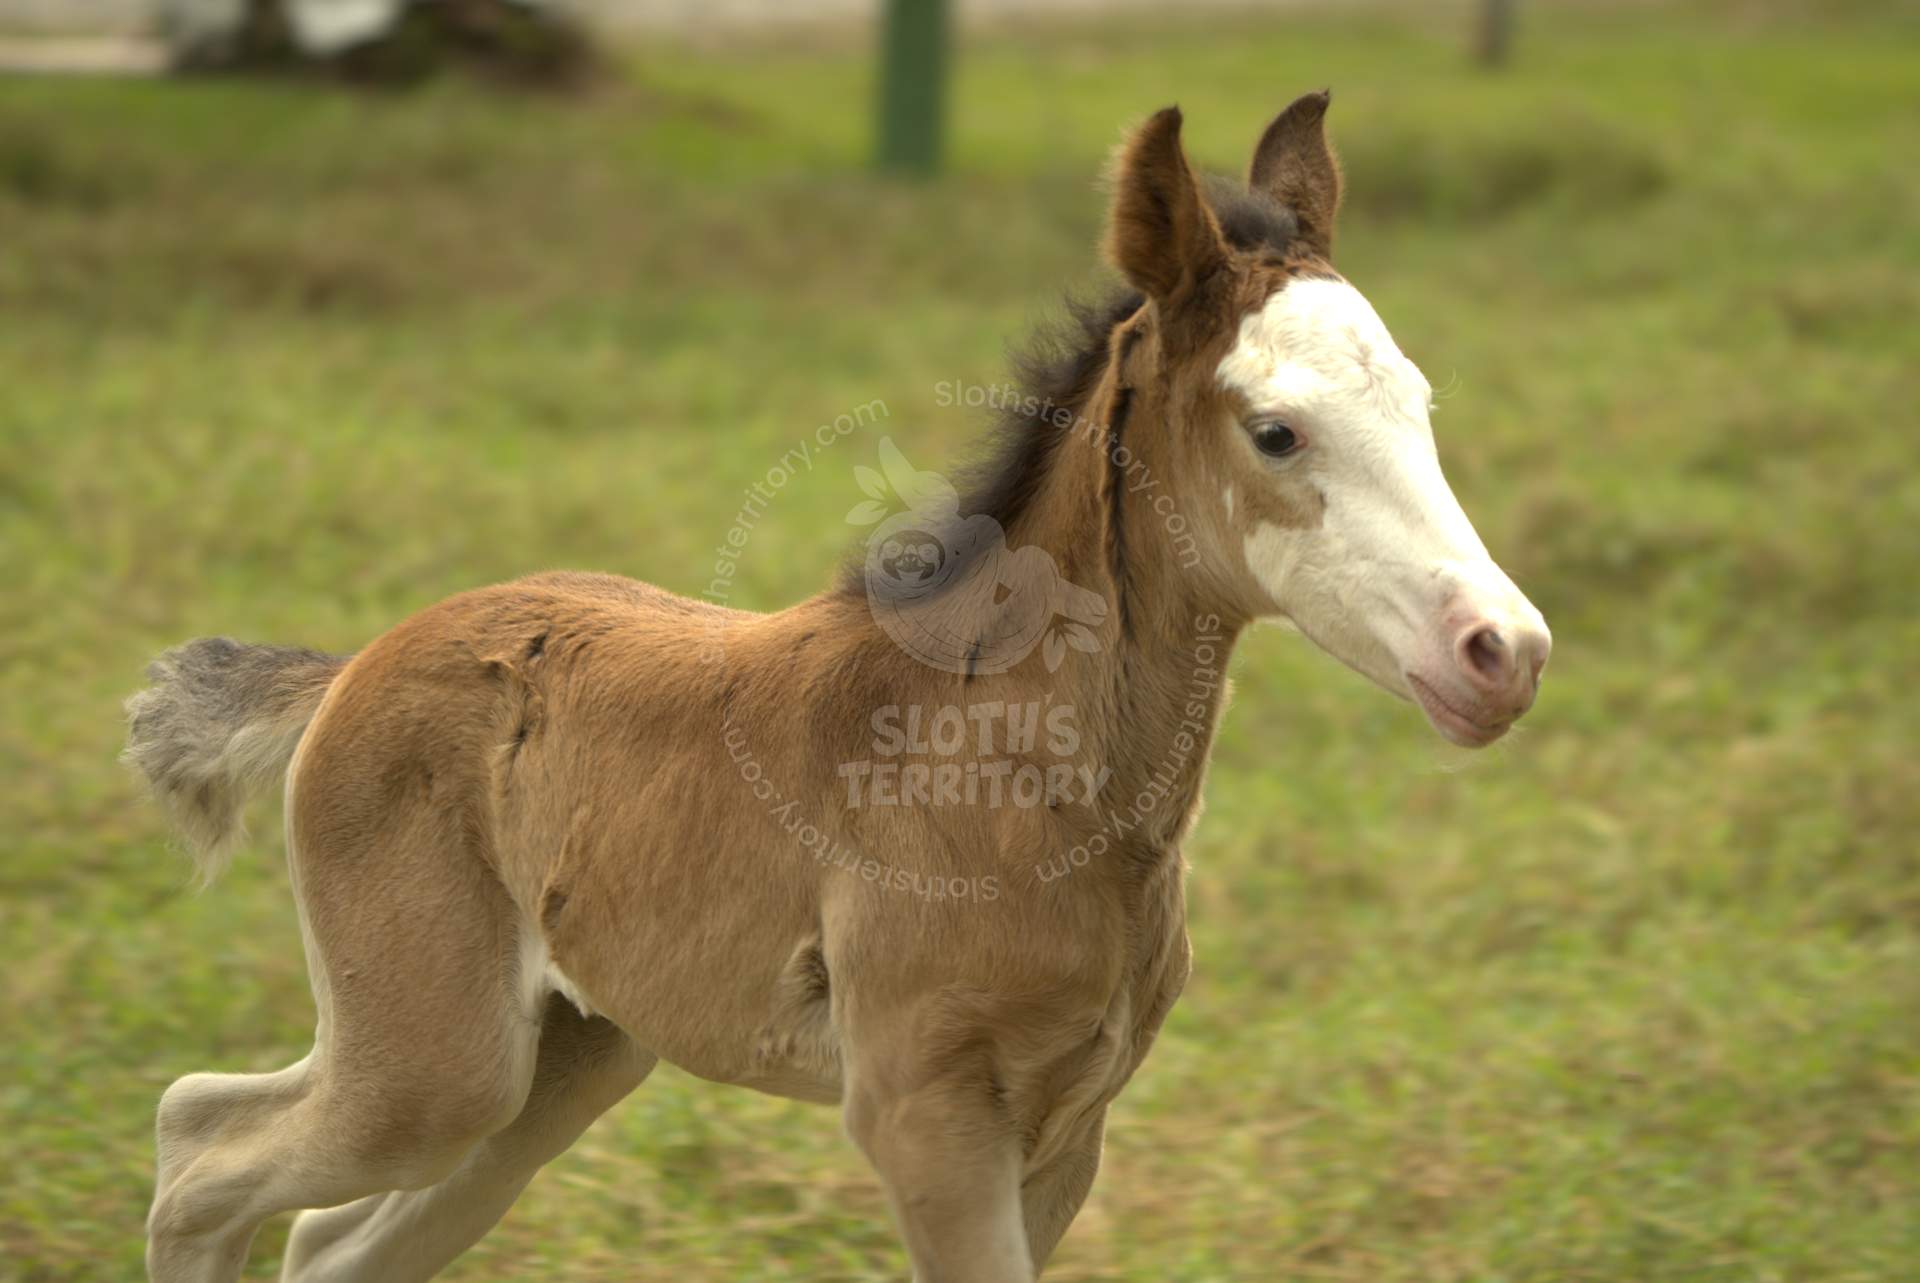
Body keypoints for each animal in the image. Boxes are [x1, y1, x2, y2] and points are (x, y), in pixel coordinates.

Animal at [124, 93, 1550, 1283]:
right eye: (1276, 431)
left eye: (1419, 405)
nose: (1505, 650)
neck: (1011, 774)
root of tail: (355, 666)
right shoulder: (927, 1114)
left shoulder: (1069, 1130)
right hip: (434, 1059)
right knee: (198, 1144)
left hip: (562, 1061)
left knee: (322, 1234)